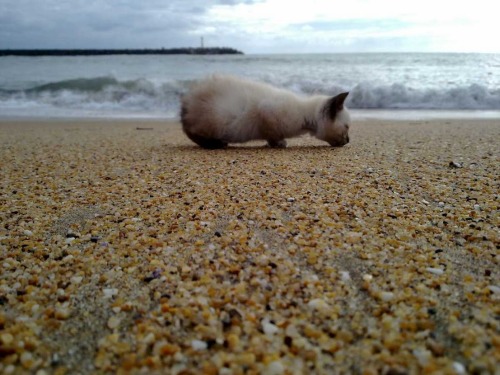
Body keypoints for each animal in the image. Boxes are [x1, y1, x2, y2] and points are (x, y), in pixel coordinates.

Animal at [181, 74, 352, 149]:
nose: (349, 140)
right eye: (347, 127)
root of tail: (186, 100)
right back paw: (218, 144)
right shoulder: (266, 112)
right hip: (214, 121)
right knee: (194, 134)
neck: (305, 119)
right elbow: (273, 135)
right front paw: (279, 144)